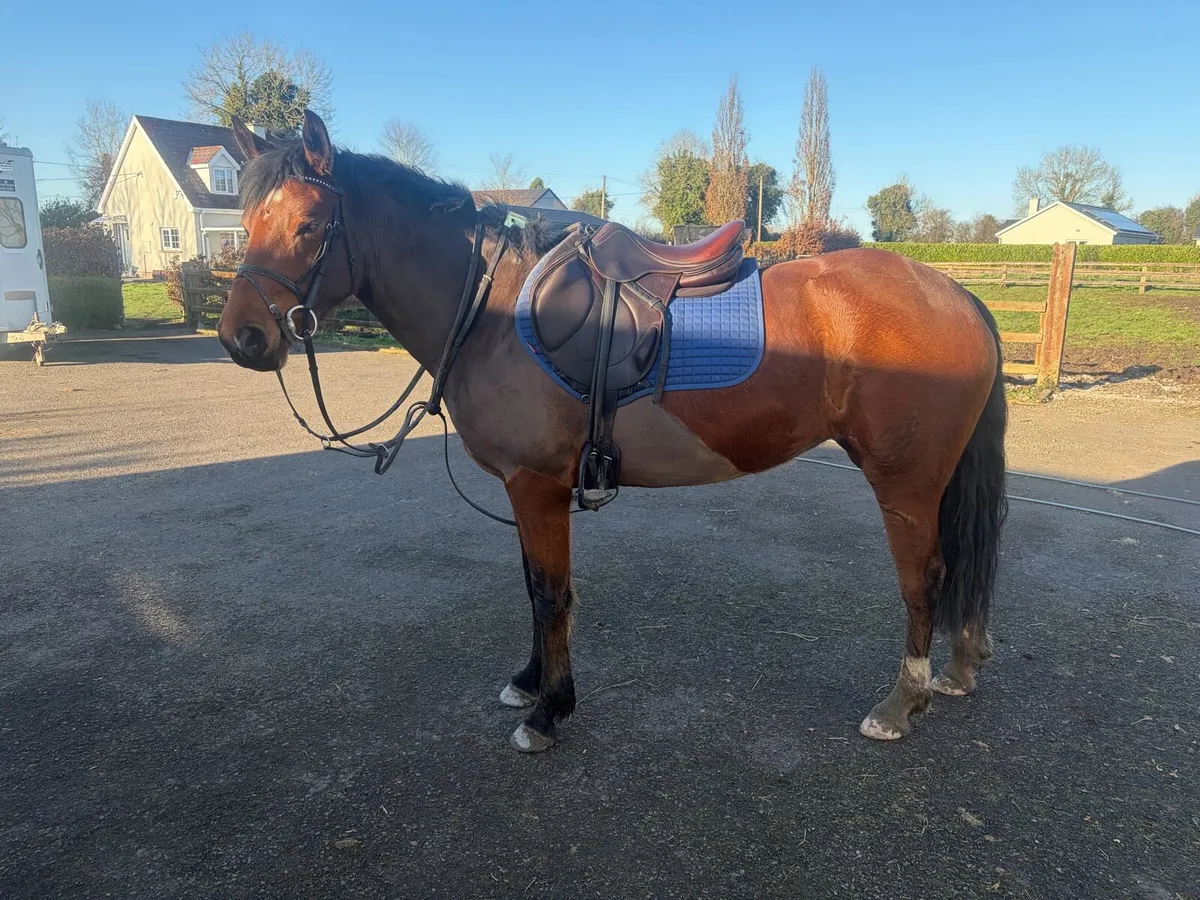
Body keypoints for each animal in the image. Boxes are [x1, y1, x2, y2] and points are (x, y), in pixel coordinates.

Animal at [216, 110, 1007, 754]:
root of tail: (956, 292)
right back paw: (960, 667)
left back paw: (901, 703)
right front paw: (531, 682)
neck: (493, 311)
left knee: (925, 579)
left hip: (905, 483)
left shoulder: (536, 486)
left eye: (310, 227)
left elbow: (550, 594)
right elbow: (533, 586)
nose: (243, 339)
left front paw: (549, 712)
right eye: (247, 223)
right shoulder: (526, 491)